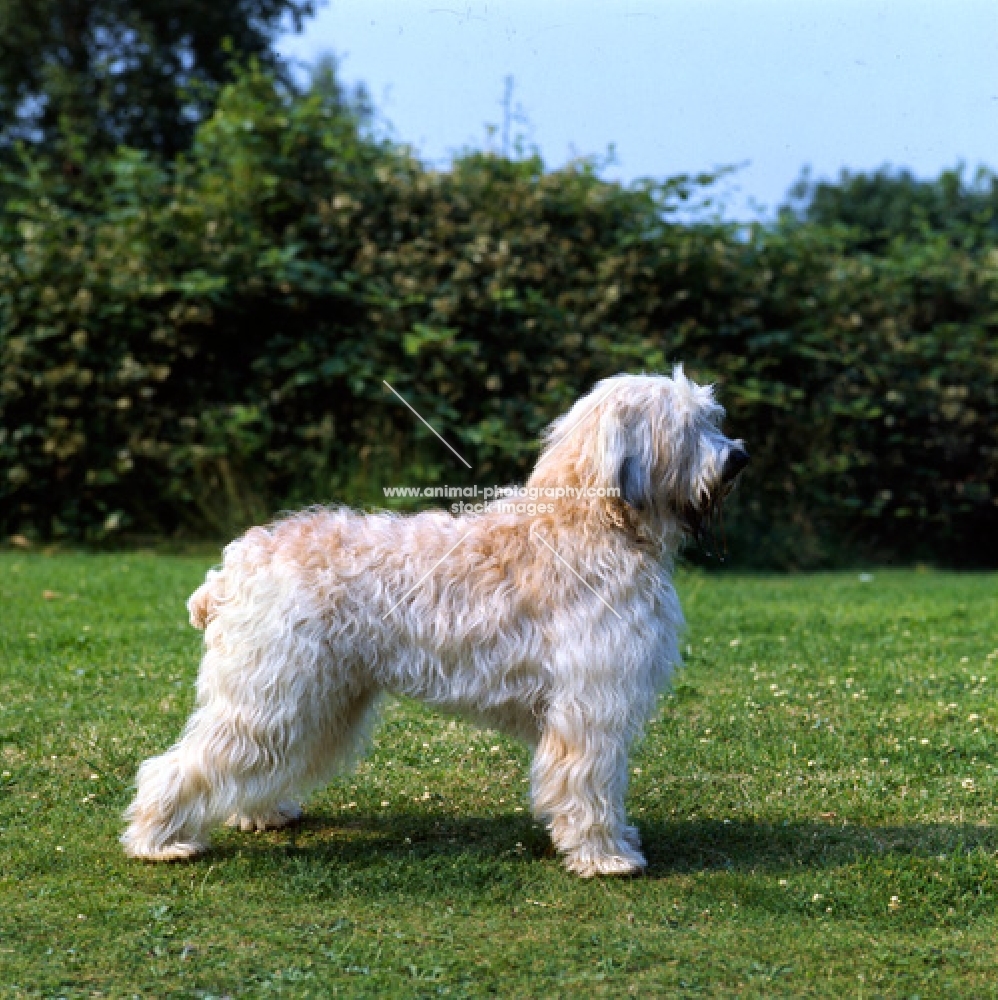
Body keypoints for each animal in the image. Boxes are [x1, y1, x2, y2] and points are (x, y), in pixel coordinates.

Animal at [123, 366, 752, 876]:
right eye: (689, 425)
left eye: (713, 418)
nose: (739, 457)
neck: (592, 523)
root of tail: (235, 564)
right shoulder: (591, 707)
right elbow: (589, 783)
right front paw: (606, 856)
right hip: (271, 691)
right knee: (177, 765)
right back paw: (158, 841)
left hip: (314, 697)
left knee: (259, 758)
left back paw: (261, 813)